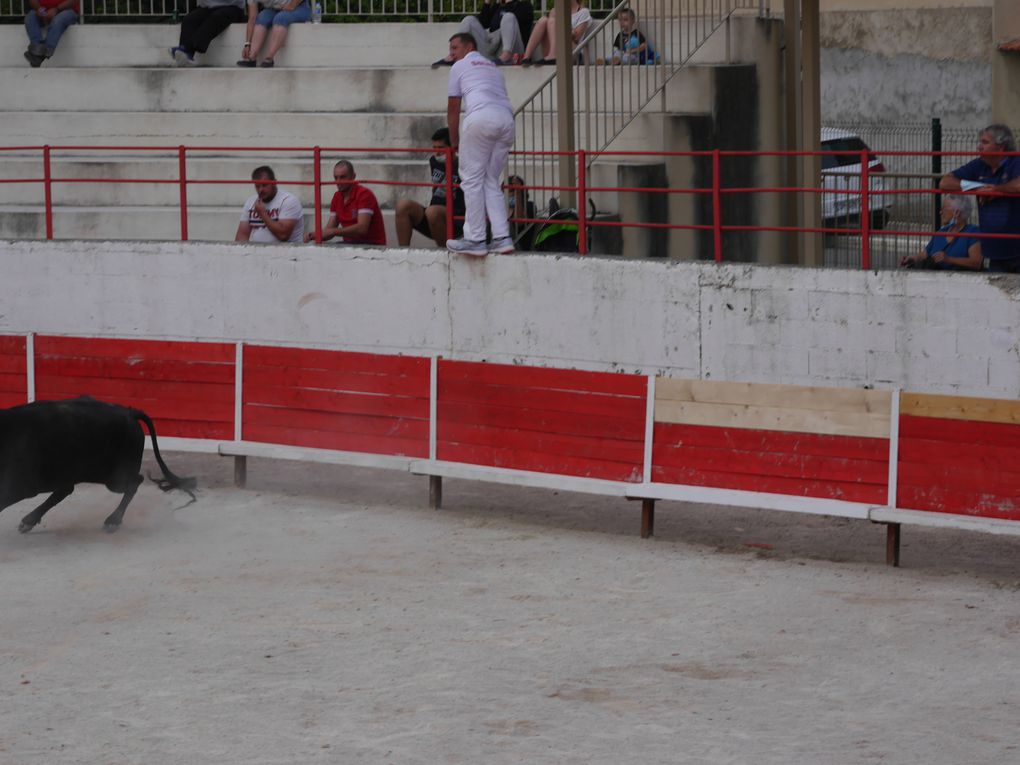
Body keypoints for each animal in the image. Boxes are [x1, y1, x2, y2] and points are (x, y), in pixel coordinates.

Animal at [0, 395, 196, 534]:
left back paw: (112, 521)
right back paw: (28, 521)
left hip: (114, 479)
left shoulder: (17, 487)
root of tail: (128, 412)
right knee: (65, 489)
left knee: (135, 482)